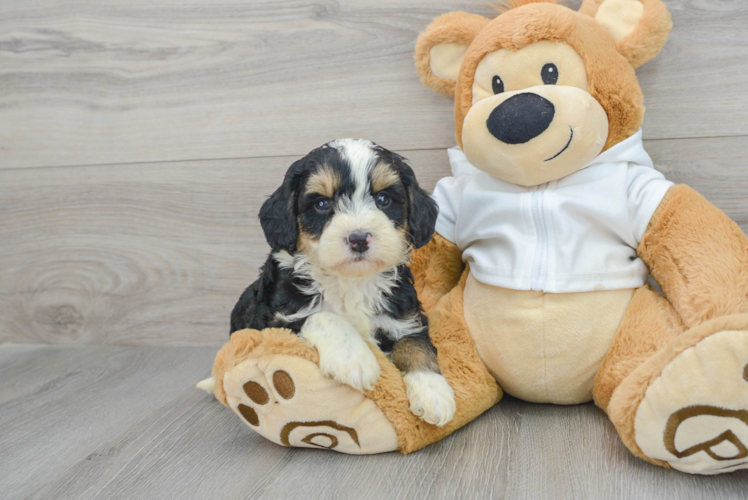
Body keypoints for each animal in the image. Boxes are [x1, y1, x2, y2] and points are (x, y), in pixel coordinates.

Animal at [231, 140, 458, 426]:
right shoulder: (274, 320)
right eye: (321, 203)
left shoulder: (404, 314)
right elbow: (323, 316)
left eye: (383, 200)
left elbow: (415, 343)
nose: (359, 238)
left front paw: (433, 392)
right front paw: (354, 358)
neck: (351, 281)